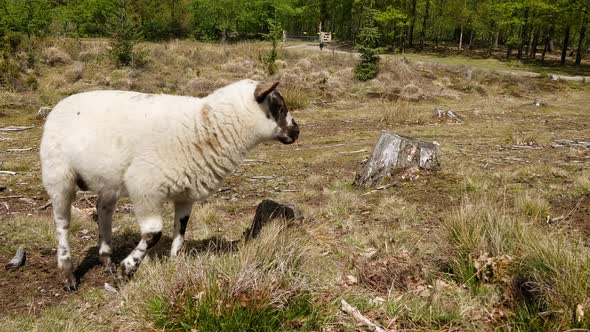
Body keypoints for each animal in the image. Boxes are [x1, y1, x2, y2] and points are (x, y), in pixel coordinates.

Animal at [39, 78, 300, 290]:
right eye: (279, 107)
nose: (296, 131)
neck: (205, 125)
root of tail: (61, 105)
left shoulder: (186, 193)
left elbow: (181, 230)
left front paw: (174, 264)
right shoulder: (145, 188)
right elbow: (153, 234)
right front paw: (128, 268)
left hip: (107, 181)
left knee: (103, 211)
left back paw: (107, 260)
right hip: (58, 175)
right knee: (62, 222)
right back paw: (69, 274)